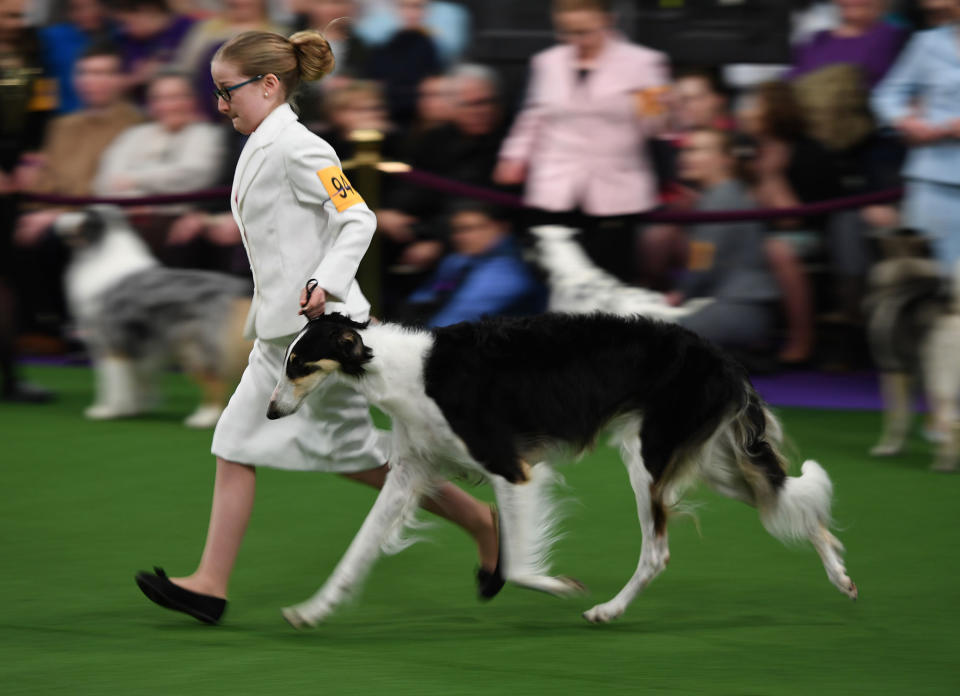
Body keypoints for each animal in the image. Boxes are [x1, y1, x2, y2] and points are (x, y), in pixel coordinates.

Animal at [54, 204, 253, 426]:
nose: (58, 219)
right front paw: (132, 409)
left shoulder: (112, 342)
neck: (100, 250)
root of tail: (234, 288)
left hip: (196, 347)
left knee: (215, 381)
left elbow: (114, 382)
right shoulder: (132, 347)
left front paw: (107, 411)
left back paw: (203, 418)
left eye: (84, 214)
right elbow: (125, 381)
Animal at [264, 312, 856, 628]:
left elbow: (517, 565)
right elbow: (357, 551)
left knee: (658, 551)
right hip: (710, 463)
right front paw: (311, 610)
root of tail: (725, 358)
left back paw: (607, 610)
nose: (269, 412)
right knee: (790, 504)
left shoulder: (513, 470)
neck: (400, 369)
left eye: (299, 365)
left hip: (649, 460)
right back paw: (840, 577)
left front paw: (561, 585)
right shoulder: (410, 474)